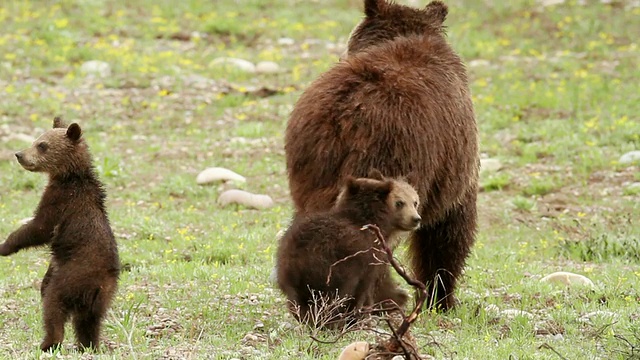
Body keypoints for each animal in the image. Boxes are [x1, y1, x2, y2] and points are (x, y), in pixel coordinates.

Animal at [0, 118, 120, 352]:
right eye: (37, 139)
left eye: (42, 145)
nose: (19, 154)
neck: (69, 175)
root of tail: (98, 283)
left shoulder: (60, 200)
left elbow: (39, 228)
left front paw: (4, 246)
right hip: (101, 298)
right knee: (89, 321)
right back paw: (88, 345)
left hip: (72, 277)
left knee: (53, 306)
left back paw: (48, 343)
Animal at [276, 171, 420, 326]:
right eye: (400, 203)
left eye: (415, 202)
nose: (416, 219)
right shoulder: (368, 259)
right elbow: (365, 288)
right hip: (335, 270)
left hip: (288, 270)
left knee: (297, 300)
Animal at [284, 0, 476, 310]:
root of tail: (346, 115)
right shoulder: (455, 166)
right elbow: (448, 231)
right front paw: (441, 298)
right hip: (390, 154)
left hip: (311, 161)